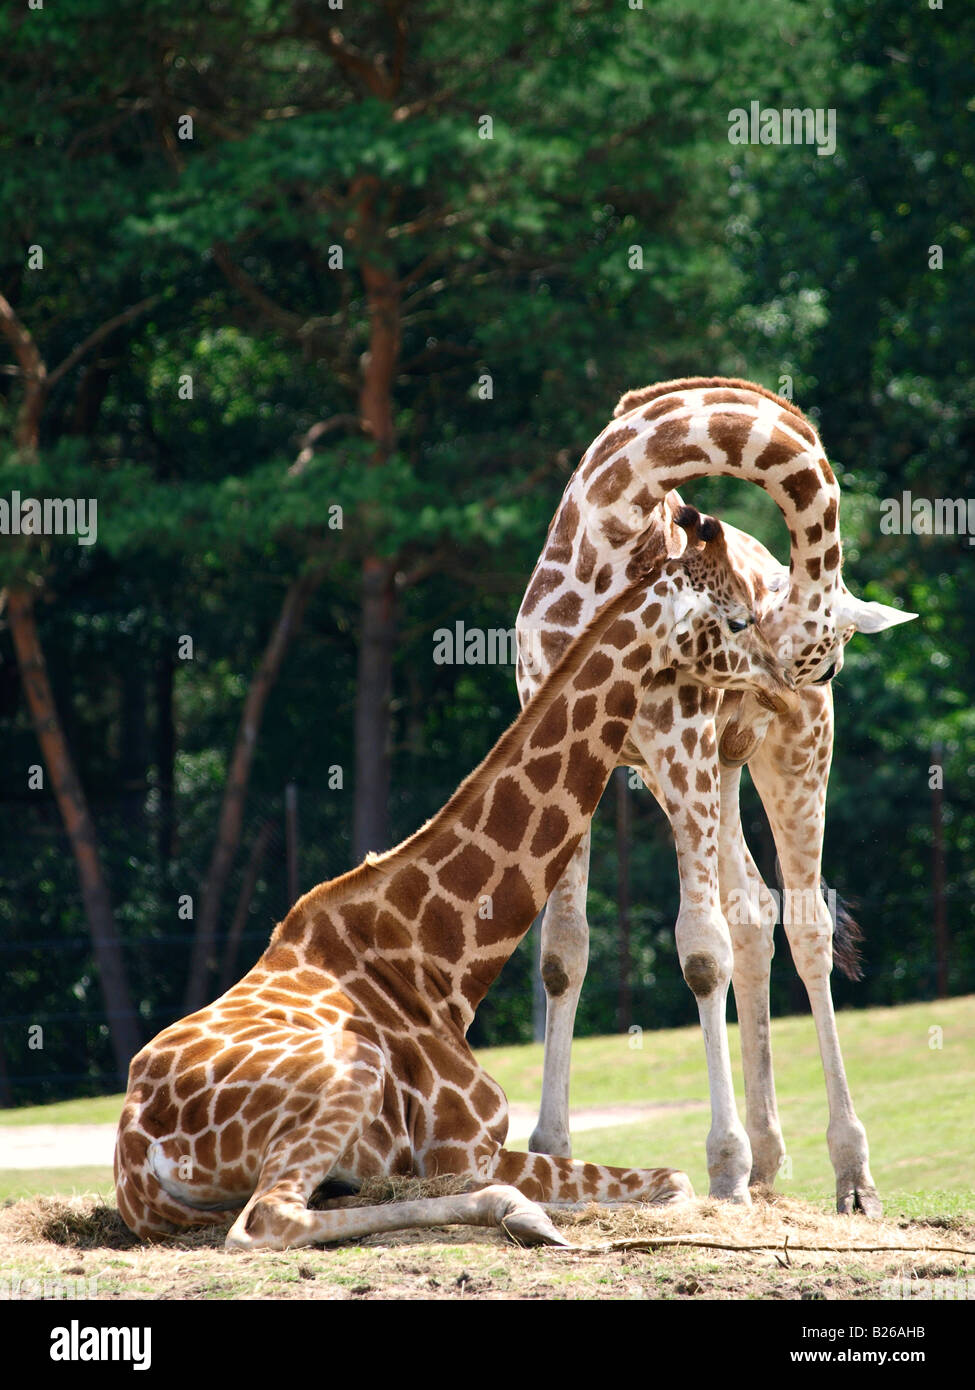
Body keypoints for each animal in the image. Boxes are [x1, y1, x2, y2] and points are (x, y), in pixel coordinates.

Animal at [116, 517, 801, 1256]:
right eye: (738, 618)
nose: (789, 682)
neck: (439, 960)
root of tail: (135, 1155)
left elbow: (665, 1180)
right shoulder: (462, 1145)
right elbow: (671, 1184)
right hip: (352, 1070)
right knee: (264, 1221)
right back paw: (519, 1213)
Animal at [517, 375, 912, 1212]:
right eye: (734, 618)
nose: (790, 684)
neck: (602, 533)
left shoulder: (678, 735)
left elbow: (700, 952)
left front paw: (722, 1165)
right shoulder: (562, 735)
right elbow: (562, 953)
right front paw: (551, 1154)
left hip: (783, 756)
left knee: (803, 922)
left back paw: (850, 1176)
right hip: (718, 765)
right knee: (755, 910)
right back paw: (768, 1163)